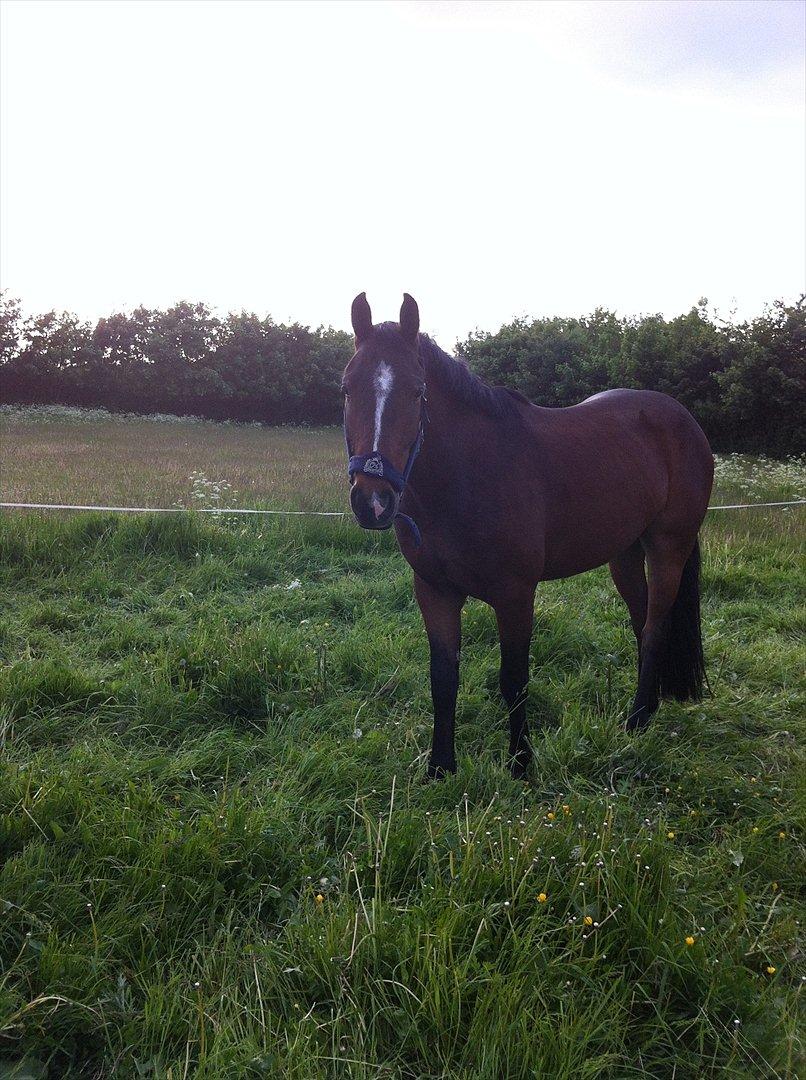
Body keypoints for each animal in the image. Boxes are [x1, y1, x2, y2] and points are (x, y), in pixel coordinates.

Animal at [341, 293, 708, 777]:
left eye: (417, 391)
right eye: (347, 388)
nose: (374, 501)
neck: (469, 476)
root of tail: (683, 418)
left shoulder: (515, 596)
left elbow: (513, 679)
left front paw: (520, 762)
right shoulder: (435, 591)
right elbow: (443, 677)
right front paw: (441, 766)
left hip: (668, 548)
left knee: (654, 628)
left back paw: (636, 721)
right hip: (625, 554)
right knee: (641, 622)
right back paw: (646, 710)